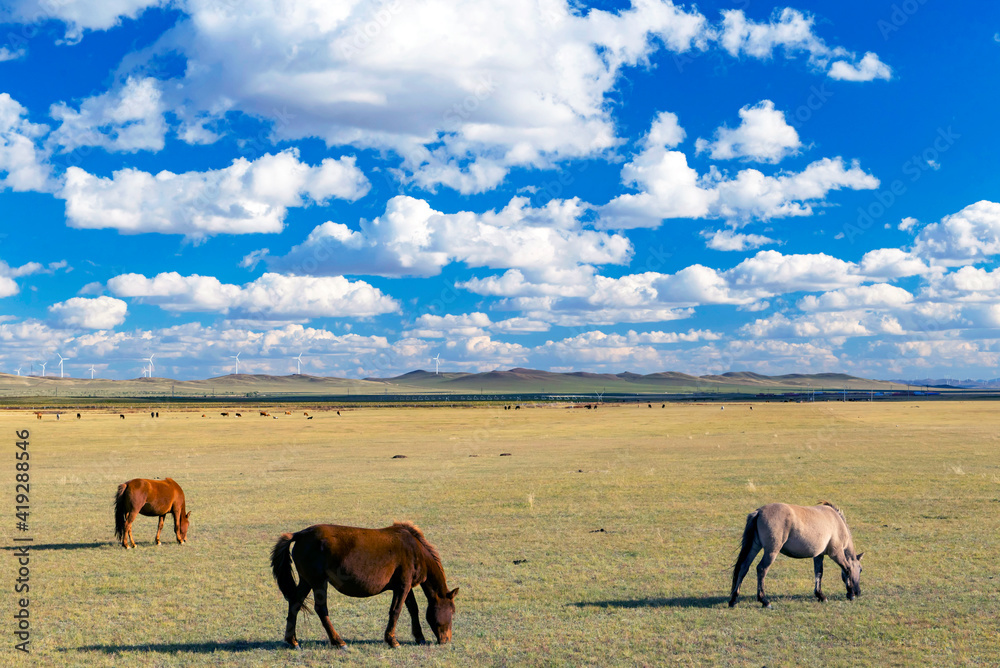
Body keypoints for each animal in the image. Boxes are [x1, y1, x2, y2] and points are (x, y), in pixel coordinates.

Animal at [270, 522, 459, 649]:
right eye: (452, 612)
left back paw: (293, 641)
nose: (446, 640)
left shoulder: (405, 587)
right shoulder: (403, 586)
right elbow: (396, 611)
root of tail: (301, 534)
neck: (415, 550)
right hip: (318, 582)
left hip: (306, 581)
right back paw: (338, 642)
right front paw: (392, 640)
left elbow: (413, 609)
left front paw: (419, 637)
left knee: (295, 603)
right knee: (321, 609)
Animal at [729, 501, 863, 608]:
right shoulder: (836, 553)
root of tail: (759, 512)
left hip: (755, 547)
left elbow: (818, 573)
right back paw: (764, 601)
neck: (837, 522)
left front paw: (820, 595)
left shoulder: (818, 555)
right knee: (761, 569)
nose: (858, 592)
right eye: (860, 569)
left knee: (744, 567)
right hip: (771, 551)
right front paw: (850, 593)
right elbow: (847, 568)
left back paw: (733, 600)